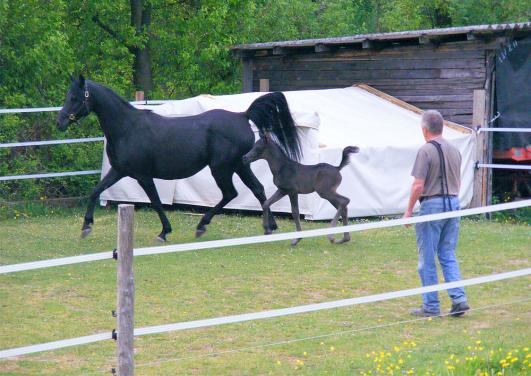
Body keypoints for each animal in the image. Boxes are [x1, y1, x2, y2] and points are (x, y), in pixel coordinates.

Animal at [57, 74, 302, 241]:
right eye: (68, 96)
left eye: (75, 97)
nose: (60, 122)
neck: (127, 128)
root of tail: (242, 115)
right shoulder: (119, 171)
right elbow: (95, 191)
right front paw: (86, 226)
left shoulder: (142, 176)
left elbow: (156, 202)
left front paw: (164, 232)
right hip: (240, 165)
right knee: (257, 189)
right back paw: (270, 227)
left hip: (221, 168)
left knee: (231, 193)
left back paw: (202, 225)